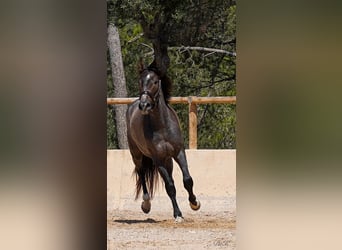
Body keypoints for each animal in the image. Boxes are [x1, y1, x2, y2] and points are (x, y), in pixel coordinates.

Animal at [125, 63, 200, 222]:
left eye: (154, 81)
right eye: (140, 81)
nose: (144, 105)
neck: (162, 125)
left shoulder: (179, 153)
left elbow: (187, 180)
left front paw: (194, 203)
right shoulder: (158, 160)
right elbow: (170, 187)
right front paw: (178, 214)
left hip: (168, 160)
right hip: (137, 155)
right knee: (142, 174)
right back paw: (146, 204)